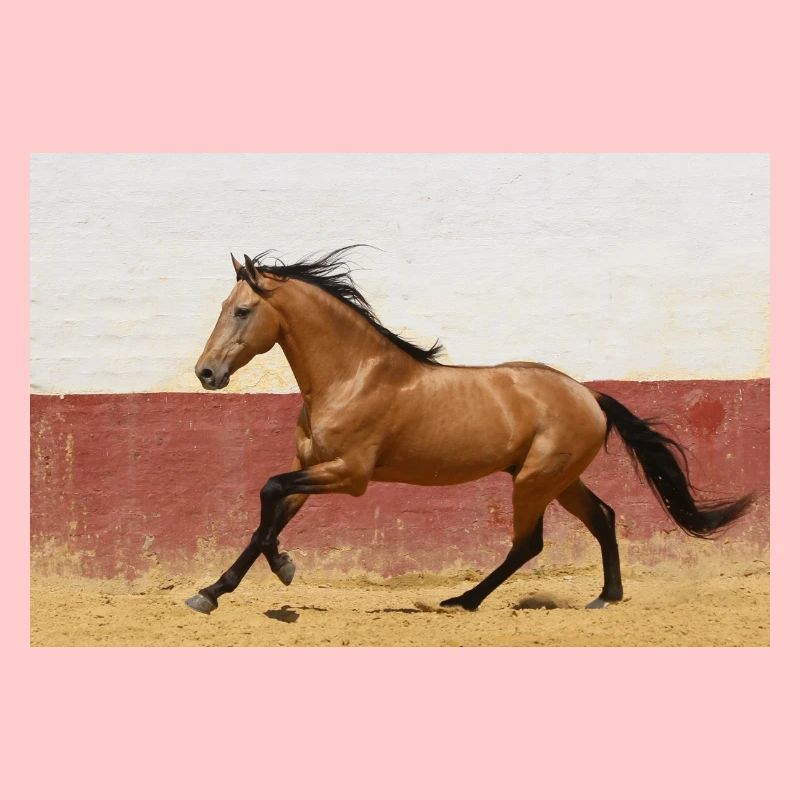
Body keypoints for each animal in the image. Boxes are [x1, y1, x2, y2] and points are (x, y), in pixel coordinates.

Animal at [185, 247, 752, 615]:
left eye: (242, 310)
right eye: (223, 308)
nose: (206, 373)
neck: (352, 375)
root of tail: (590, 396)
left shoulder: (349, 475)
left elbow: (267, 493)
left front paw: (277, 568)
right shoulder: (312, 467)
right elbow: (267, 517)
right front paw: (215, 590)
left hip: (534, 482)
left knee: (529, 544)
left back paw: (464, 599)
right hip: (558, 480)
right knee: (603, 517)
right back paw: (604, 598)